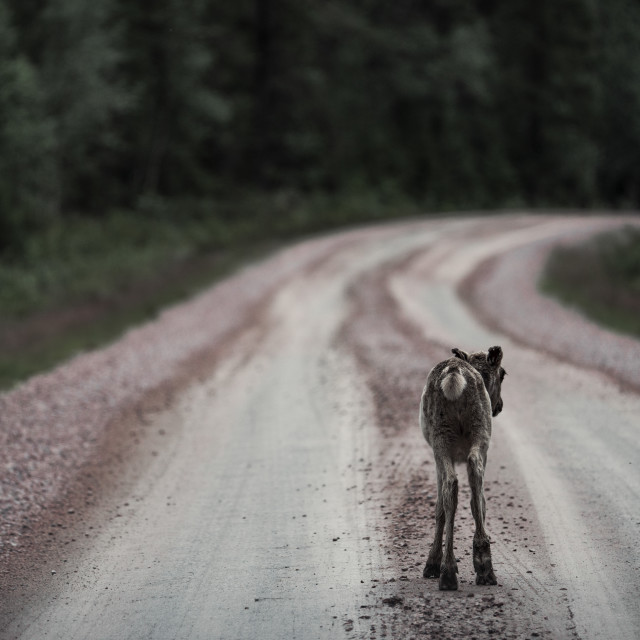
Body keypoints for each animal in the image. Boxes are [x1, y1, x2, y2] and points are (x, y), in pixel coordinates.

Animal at [420, 344, 504, 592]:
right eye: (503, 374)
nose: (499, 406)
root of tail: (454, 374)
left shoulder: (437, 455)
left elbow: (439, 507)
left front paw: (432, 563)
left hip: (441, 437)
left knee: (452, 485)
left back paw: (448, 571)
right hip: (479, 430)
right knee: (474, 474)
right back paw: (484, 564)